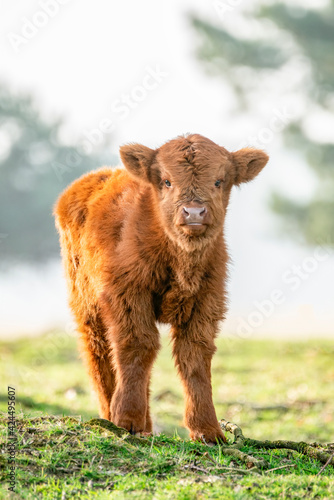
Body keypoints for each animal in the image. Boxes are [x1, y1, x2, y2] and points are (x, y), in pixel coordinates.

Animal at [54, 135, 268, 444]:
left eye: (219, 181)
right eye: (166, 181)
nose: (193, 212)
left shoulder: (207, 302)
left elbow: (194, 357)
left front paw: (208, 430)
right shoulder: (127, 295)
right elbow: (137, 345)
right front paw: (126, 420)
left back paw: (145, 425)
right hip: (87, 306)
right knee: (100, 353)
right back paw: (112, 415)